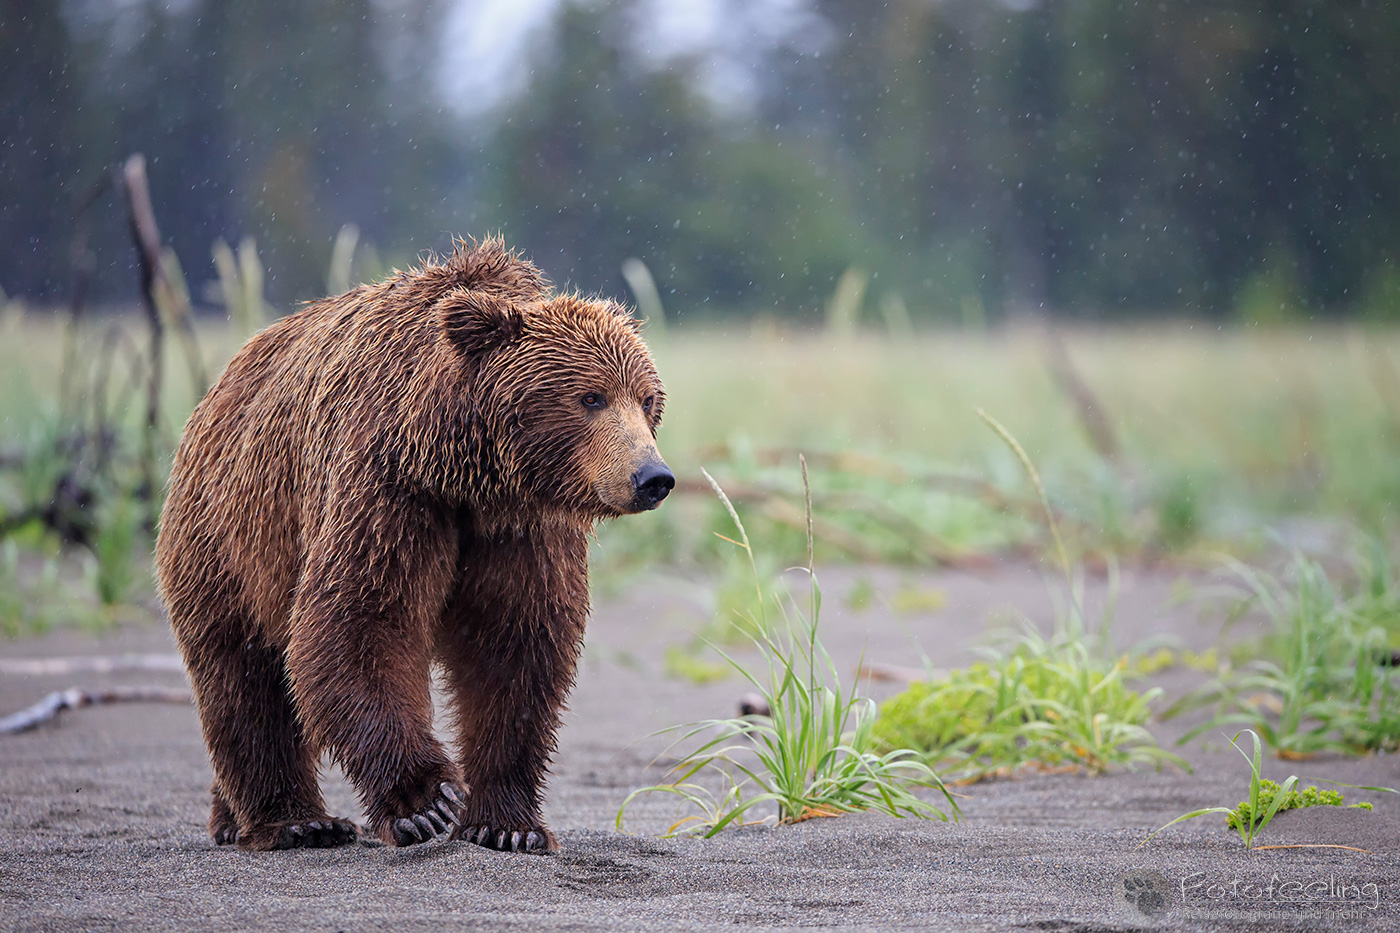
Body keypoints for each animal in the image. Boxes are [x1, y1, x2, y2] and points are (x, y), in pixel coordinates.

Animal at [155, 236, 672, 853]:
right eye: (591, 397)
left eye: (647, 399)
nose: (652, 477)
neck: (467, 470)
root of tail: (211, 397)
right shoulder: (390, 490)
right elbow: (361, 619)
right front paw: (425, 801)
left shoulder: (522, 527)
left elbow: (515, 644)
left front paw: (507, 825)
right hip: (230, 538)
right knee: (243, 675)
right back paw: (297, 821)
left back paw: (233, 816)